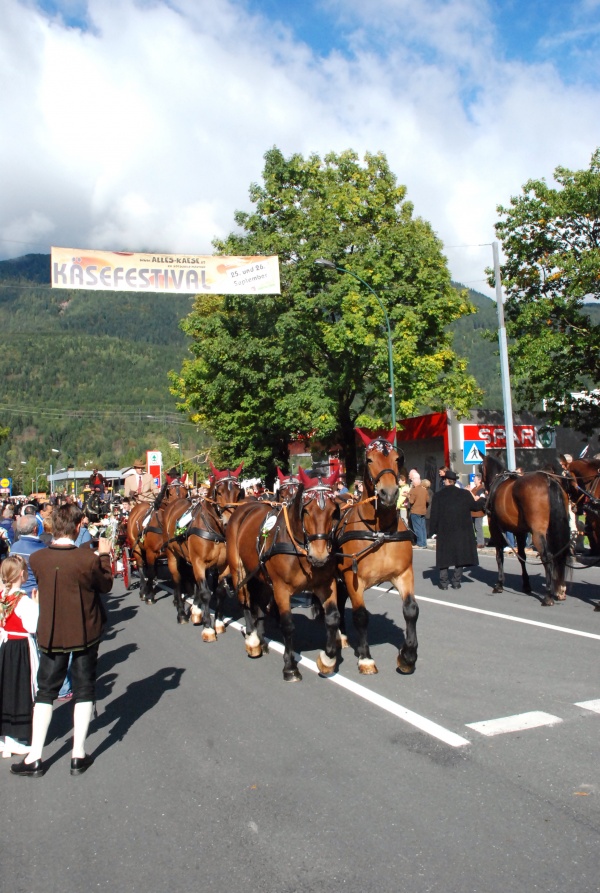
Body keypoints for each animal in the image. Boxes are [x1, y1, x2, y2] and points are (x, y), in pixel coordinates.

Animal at [164, 464, 244, 632]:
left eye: (238, 492)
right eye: (219, 492)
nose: (228, 522)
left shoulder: (223, 565)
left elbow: (219, 591)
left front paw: (218, 622)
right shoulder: (198, 562)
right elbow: (206, 593)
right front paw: (208, 627)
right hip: (172, 554)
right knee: (177, 579)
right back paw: (181, 613)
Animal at [226, 464, 342, 680]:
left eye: (333, 512)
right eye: (306, 511)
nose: (320, 555)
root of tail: (243, 508)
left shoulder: (325, 584)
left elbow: (332, 618)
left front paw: (328, 659)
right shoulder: (280, 589)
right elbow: (287, 624)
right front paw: (290, 666)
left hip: (260, 575)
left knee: (259, 604)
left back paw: (261, 640)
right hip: (239, 569)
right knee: (244, 600)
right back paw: (253, 640)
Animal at [336, 432, 420, 676]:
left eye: (397, 459)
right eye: (370, 459)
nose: (390, 493)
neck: (379, 531)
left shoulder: (404, 573)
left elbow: (411, 610)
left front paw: (408, 656)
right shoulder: (353, 579)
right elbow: (361, 615)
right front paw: (365, 658)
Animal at [480, 452, 568, 608]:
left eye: (480, 468)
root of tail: (548, 479)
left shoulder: (496, 529)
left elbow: (499, 556)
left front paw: (499, 584)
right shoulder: (520, 532)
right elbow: (522, 556)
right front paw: (526, 584)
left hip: (538, 534)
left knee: (547, 557)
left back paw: (548, 595)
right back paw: (560, 590)